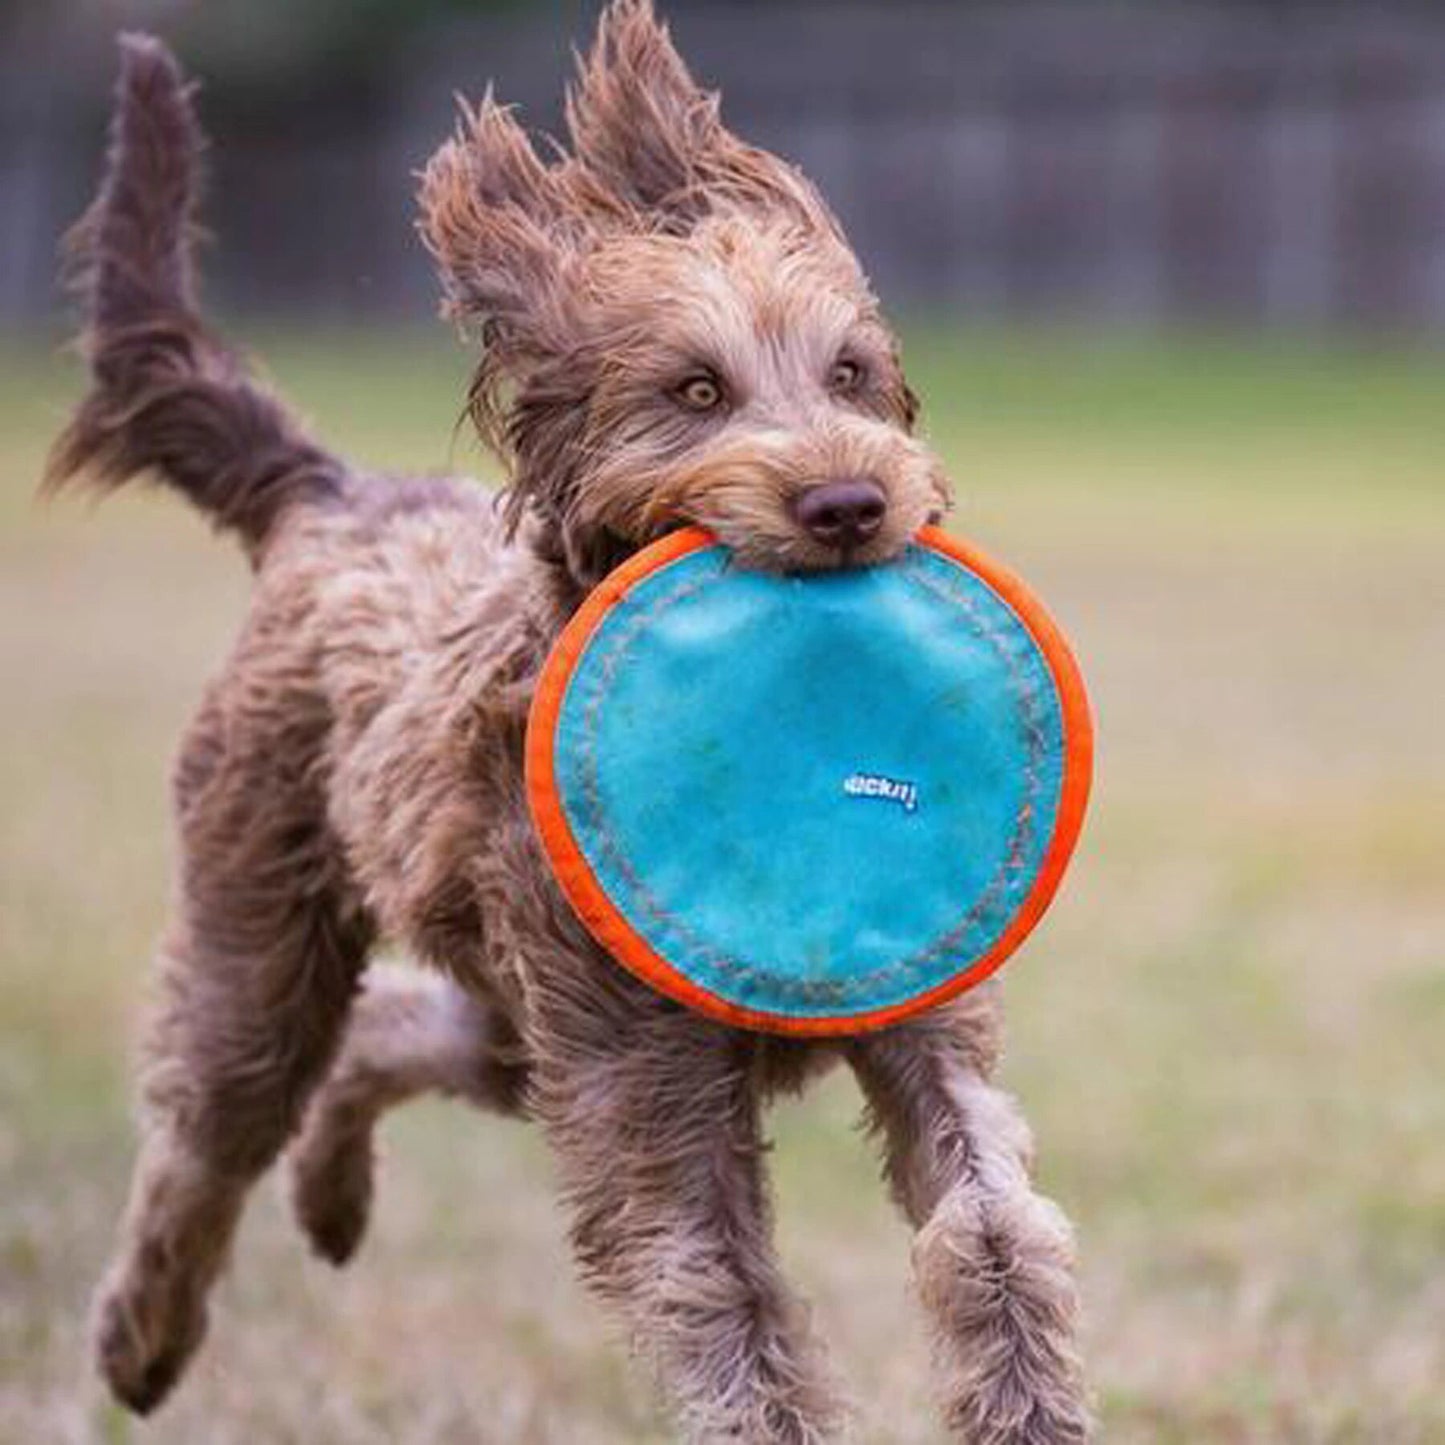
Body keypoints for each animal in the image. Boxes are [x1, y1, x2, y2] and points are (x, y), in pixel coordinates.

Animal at [56, 5, 1086, 1439]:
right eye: (697, 391)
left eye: (849, 372)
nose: (847, 501)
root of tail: (331, 495)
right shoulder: (641, 1087)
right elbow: (718, 1291)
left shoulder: (917, 1015)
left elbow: (992, 1219)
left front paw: (1026, 1402)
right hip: (271, 914)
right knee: (215, 1122)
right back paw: (141, 1337)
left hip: (511, 1011)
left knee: (389, 1031)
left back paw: (330, 1196)